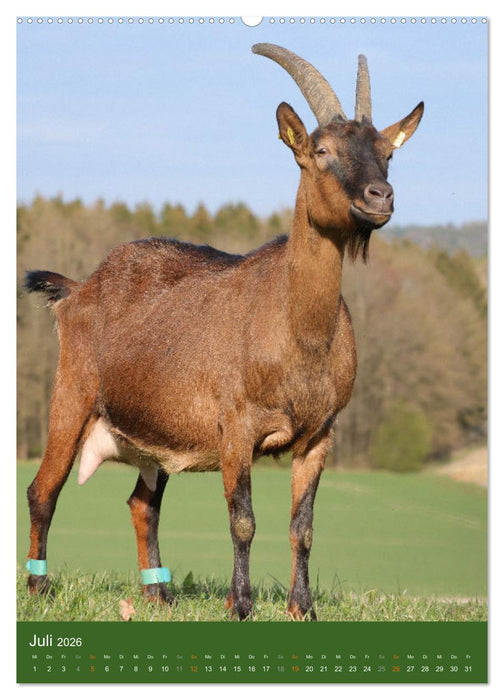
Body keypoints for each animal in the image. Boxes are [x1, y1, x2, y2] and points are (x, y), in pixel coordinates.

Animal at [24, 44, 423, 620]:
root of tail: (79, 288)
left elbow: (302, 528)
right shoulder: (236, 426)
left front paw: (302, 609)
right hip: (71, 395)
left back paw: (159, 594)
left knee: (142, 504)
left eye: (388, 153)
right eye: (321, 149)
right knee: (43, 490)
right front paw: (241, 606)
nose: (380, 196)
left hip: (154, 434)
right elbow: (243, 520)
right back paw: (39, 587)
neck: (297, 332)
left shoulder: (320, 434)